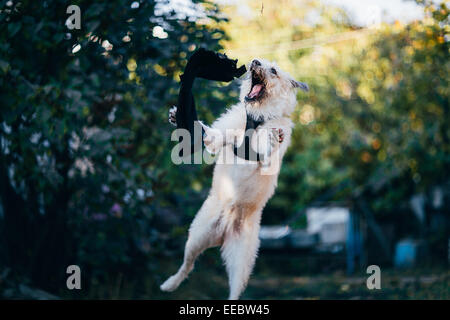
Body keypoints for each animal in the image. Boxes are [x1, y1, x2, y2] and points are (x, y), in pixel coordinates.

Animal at [160, 58, 308, 300]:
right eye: (260, 62)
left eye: (274, 70)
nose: (254, 62)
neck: (257, 118)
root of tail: (225, 232)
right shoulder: (220, 137)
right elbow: (213, 135)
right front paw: (178, 117)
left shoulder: (265, 160)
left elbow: (264, 150)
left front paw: (270, 139)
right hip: (196, 237)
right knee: (187, 265)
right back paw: (170, 284)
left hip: (242, 264)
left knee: (232, 290)